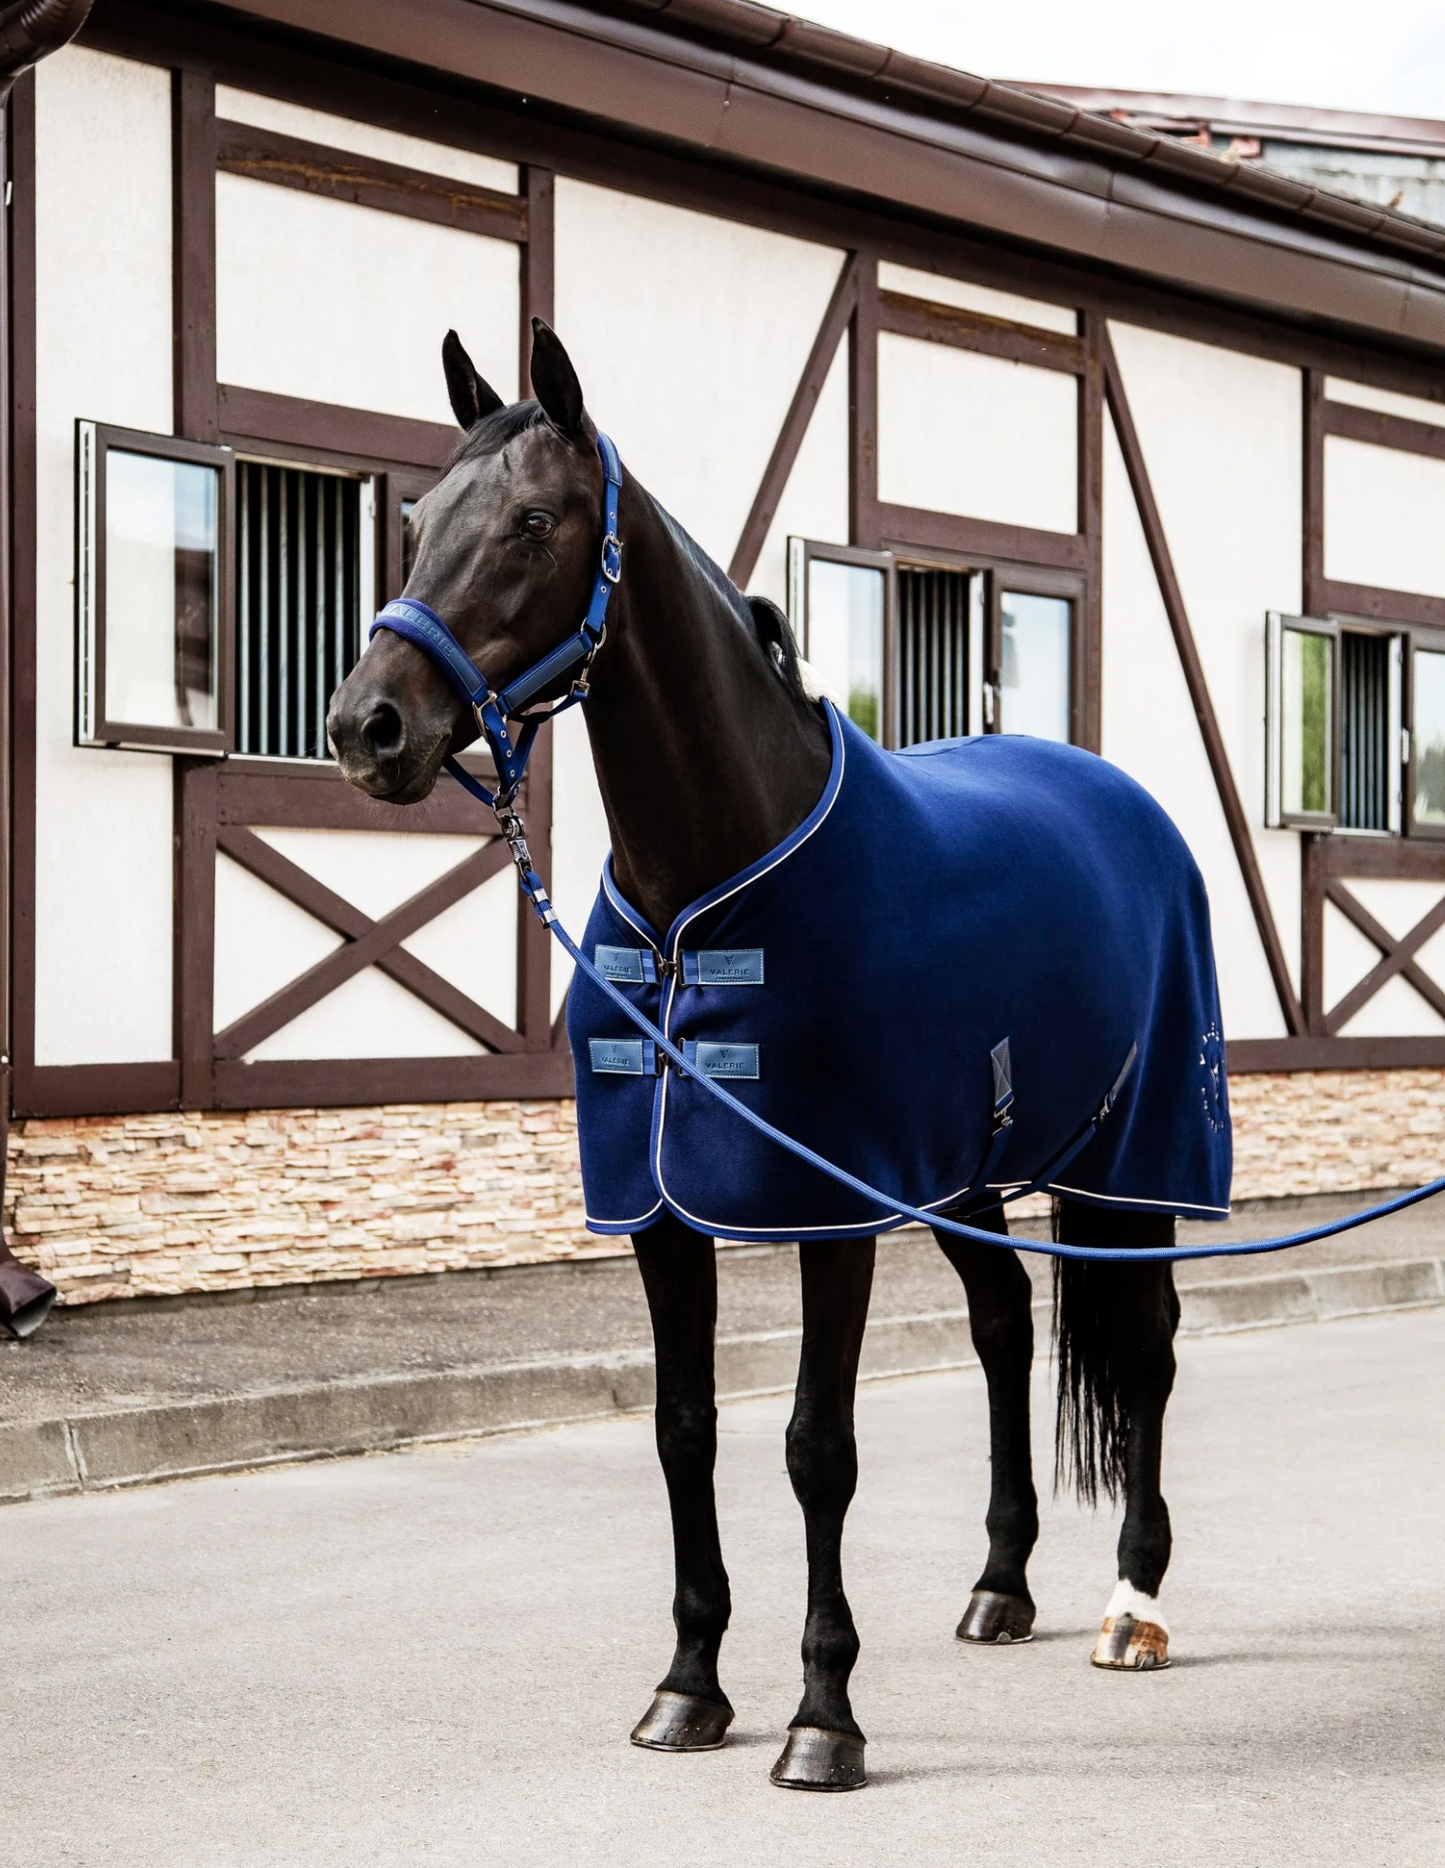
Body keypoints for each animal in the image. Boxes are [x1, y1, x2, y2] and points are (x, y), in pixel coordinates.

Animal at [327, 319, 1218, 1791]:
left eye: (531, 521)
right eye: (410, 520)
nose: (366, 727)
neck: (708, 882)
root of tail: (1127, 804)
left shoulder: (829, 1208)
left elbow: (816, 1446)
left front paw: (822, 1714)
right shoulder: (656, 1211)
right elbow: (682, 1428)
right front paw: (687, 1686)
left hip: (1132, 1160)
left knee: (1143, 1349)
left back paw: (1131, 1604)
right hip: (968, 1175)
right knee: (1001, 1327)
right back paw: (1001, 1585)